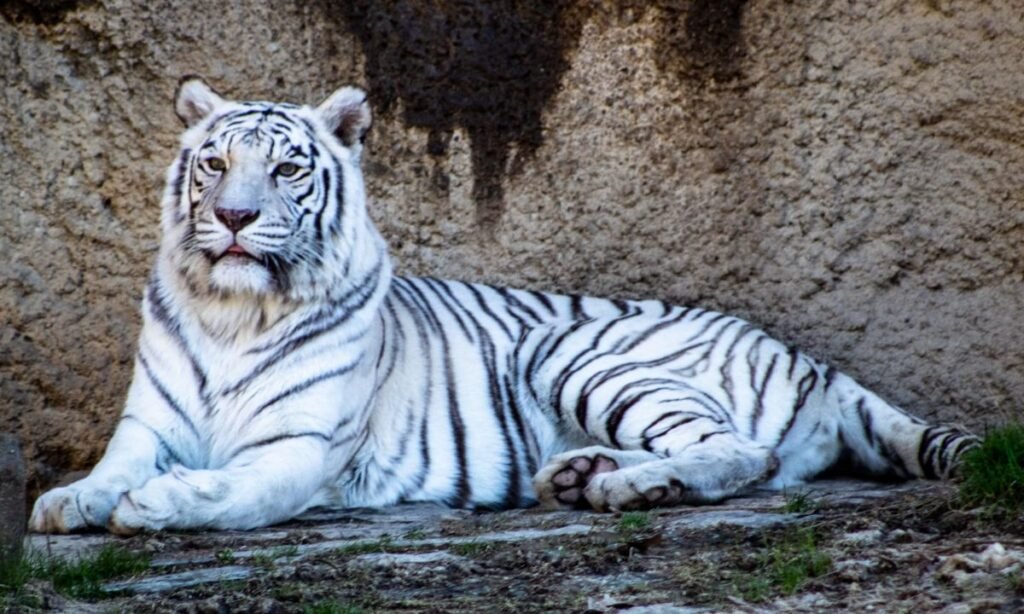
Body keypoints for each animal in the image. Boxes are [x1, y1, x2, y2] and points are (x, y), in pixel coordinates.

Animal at [29, 78, 978, 534]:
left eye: (288, 168)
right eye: (216, 163)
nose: (232, 217)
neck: (233, 311)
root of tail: (811, 360)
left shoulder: (298, 446)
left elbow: (233, 493)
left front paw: (156, 506)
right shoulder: (148, 425)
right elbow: (112, 467)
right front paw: (69, 502)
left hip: (572, 351)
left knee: (743, 452)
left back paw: (628, 487)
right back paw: (582, 475)